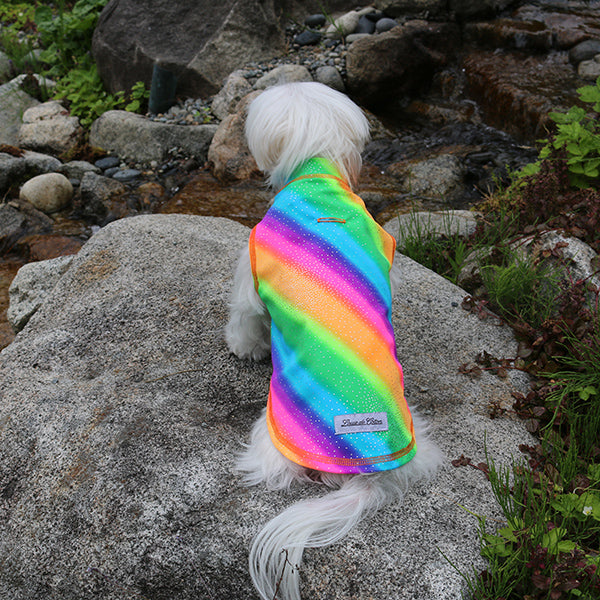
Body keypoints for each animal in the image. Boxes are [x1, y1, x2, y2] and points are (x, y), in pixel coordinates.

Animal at [225, 83, 440, 600]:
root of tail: (365, 478)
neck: (316, 171)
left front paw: (245, 347)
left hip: (273, 435)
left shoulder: (250, 266)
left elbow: (244, 316)